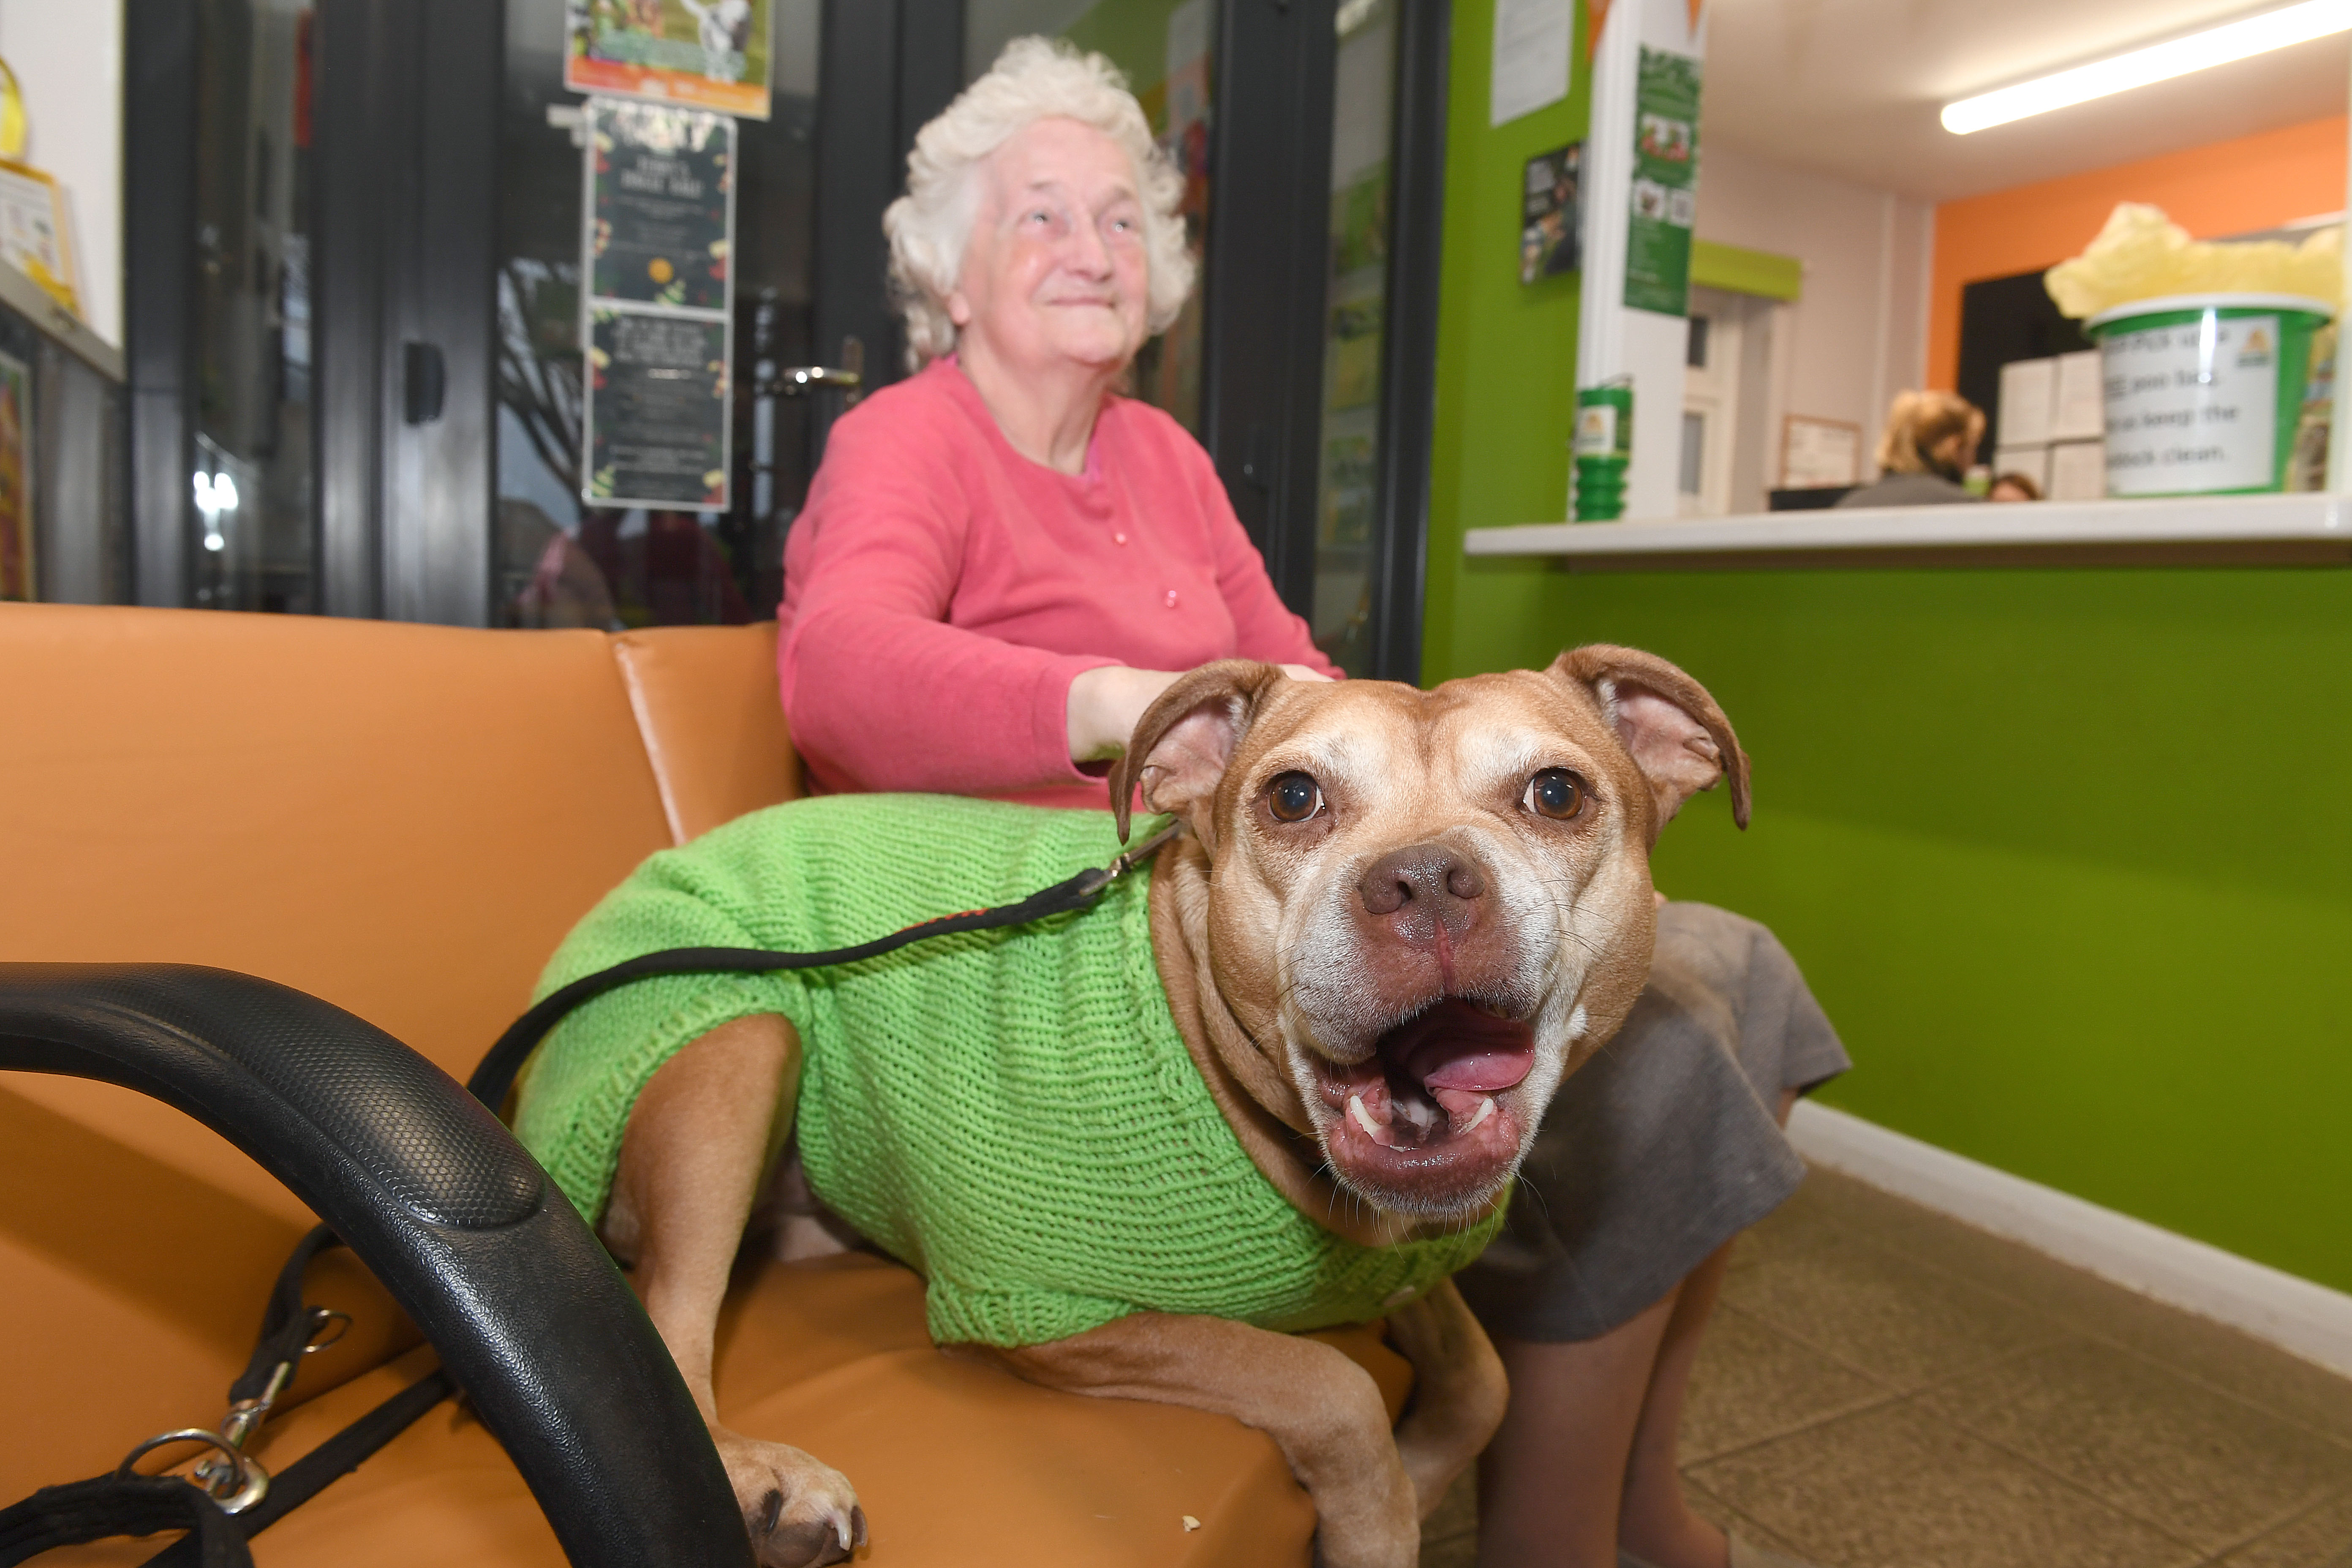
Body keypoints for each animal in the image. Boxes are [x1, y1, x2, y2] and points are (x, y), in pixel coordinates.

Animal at [607, 639, 1750, 1568]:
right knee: (667, 1323)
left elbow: (1485, 1382)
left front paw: (1422, 1476)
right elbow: (1328, 1384)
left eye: (1556, 793)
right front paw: (1379, 1520)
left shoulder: (1407, 1270)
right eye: (1292, 798)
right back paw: (766, 1481)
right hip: (747, 1043)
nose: (1424, 881)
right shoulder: (1049, 1307)